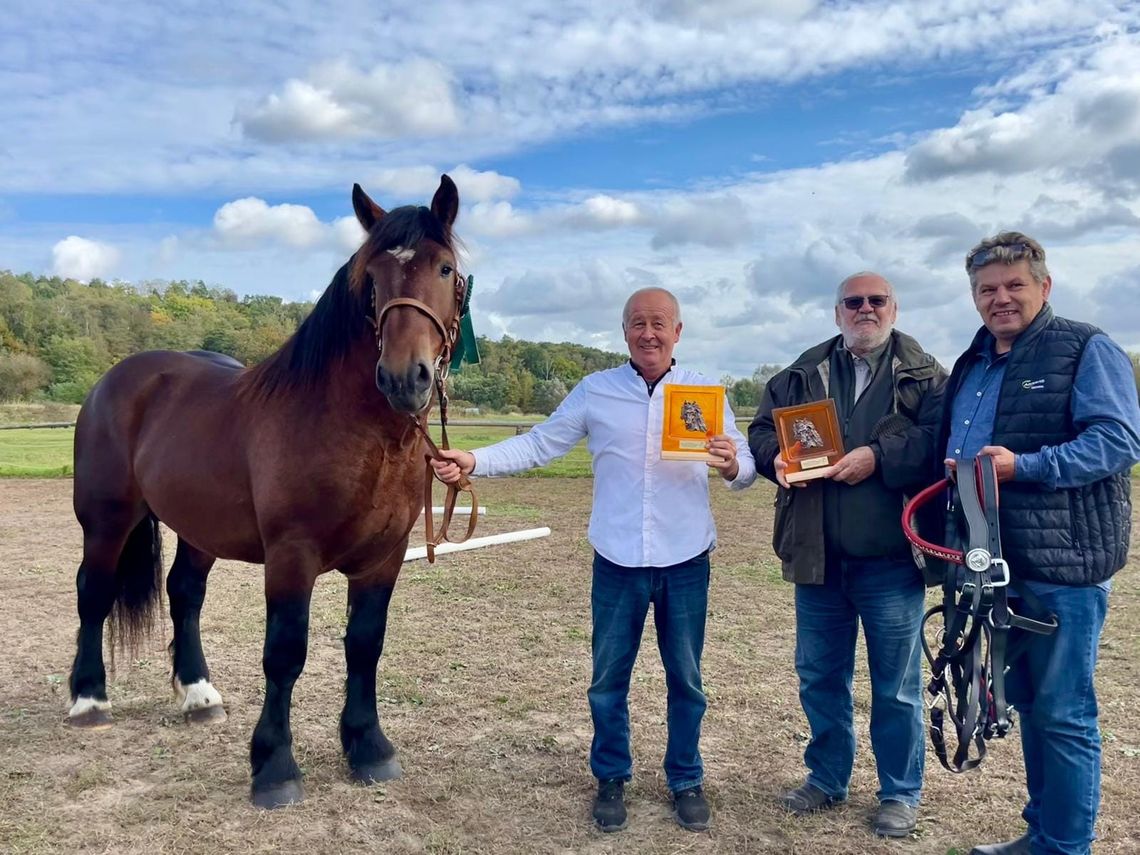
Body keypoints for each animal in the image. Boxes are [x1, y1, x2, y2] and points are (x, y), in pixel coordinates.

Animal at [67, 175, 467, 811]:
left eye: (445, 268)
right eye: (371, 277)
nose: (405, 378)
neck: (357, 433)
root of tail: (117, 379)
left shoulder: (382, 559)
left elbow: (365, 645)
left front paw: (368, 747)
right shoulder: (291, 557)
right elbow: (284, 654)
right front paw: (274, 767)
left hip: (197, 529)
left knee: (184, 594)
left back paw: (199, 696)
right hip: (106, 521)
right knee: (94, 593)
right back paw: (88, 700)